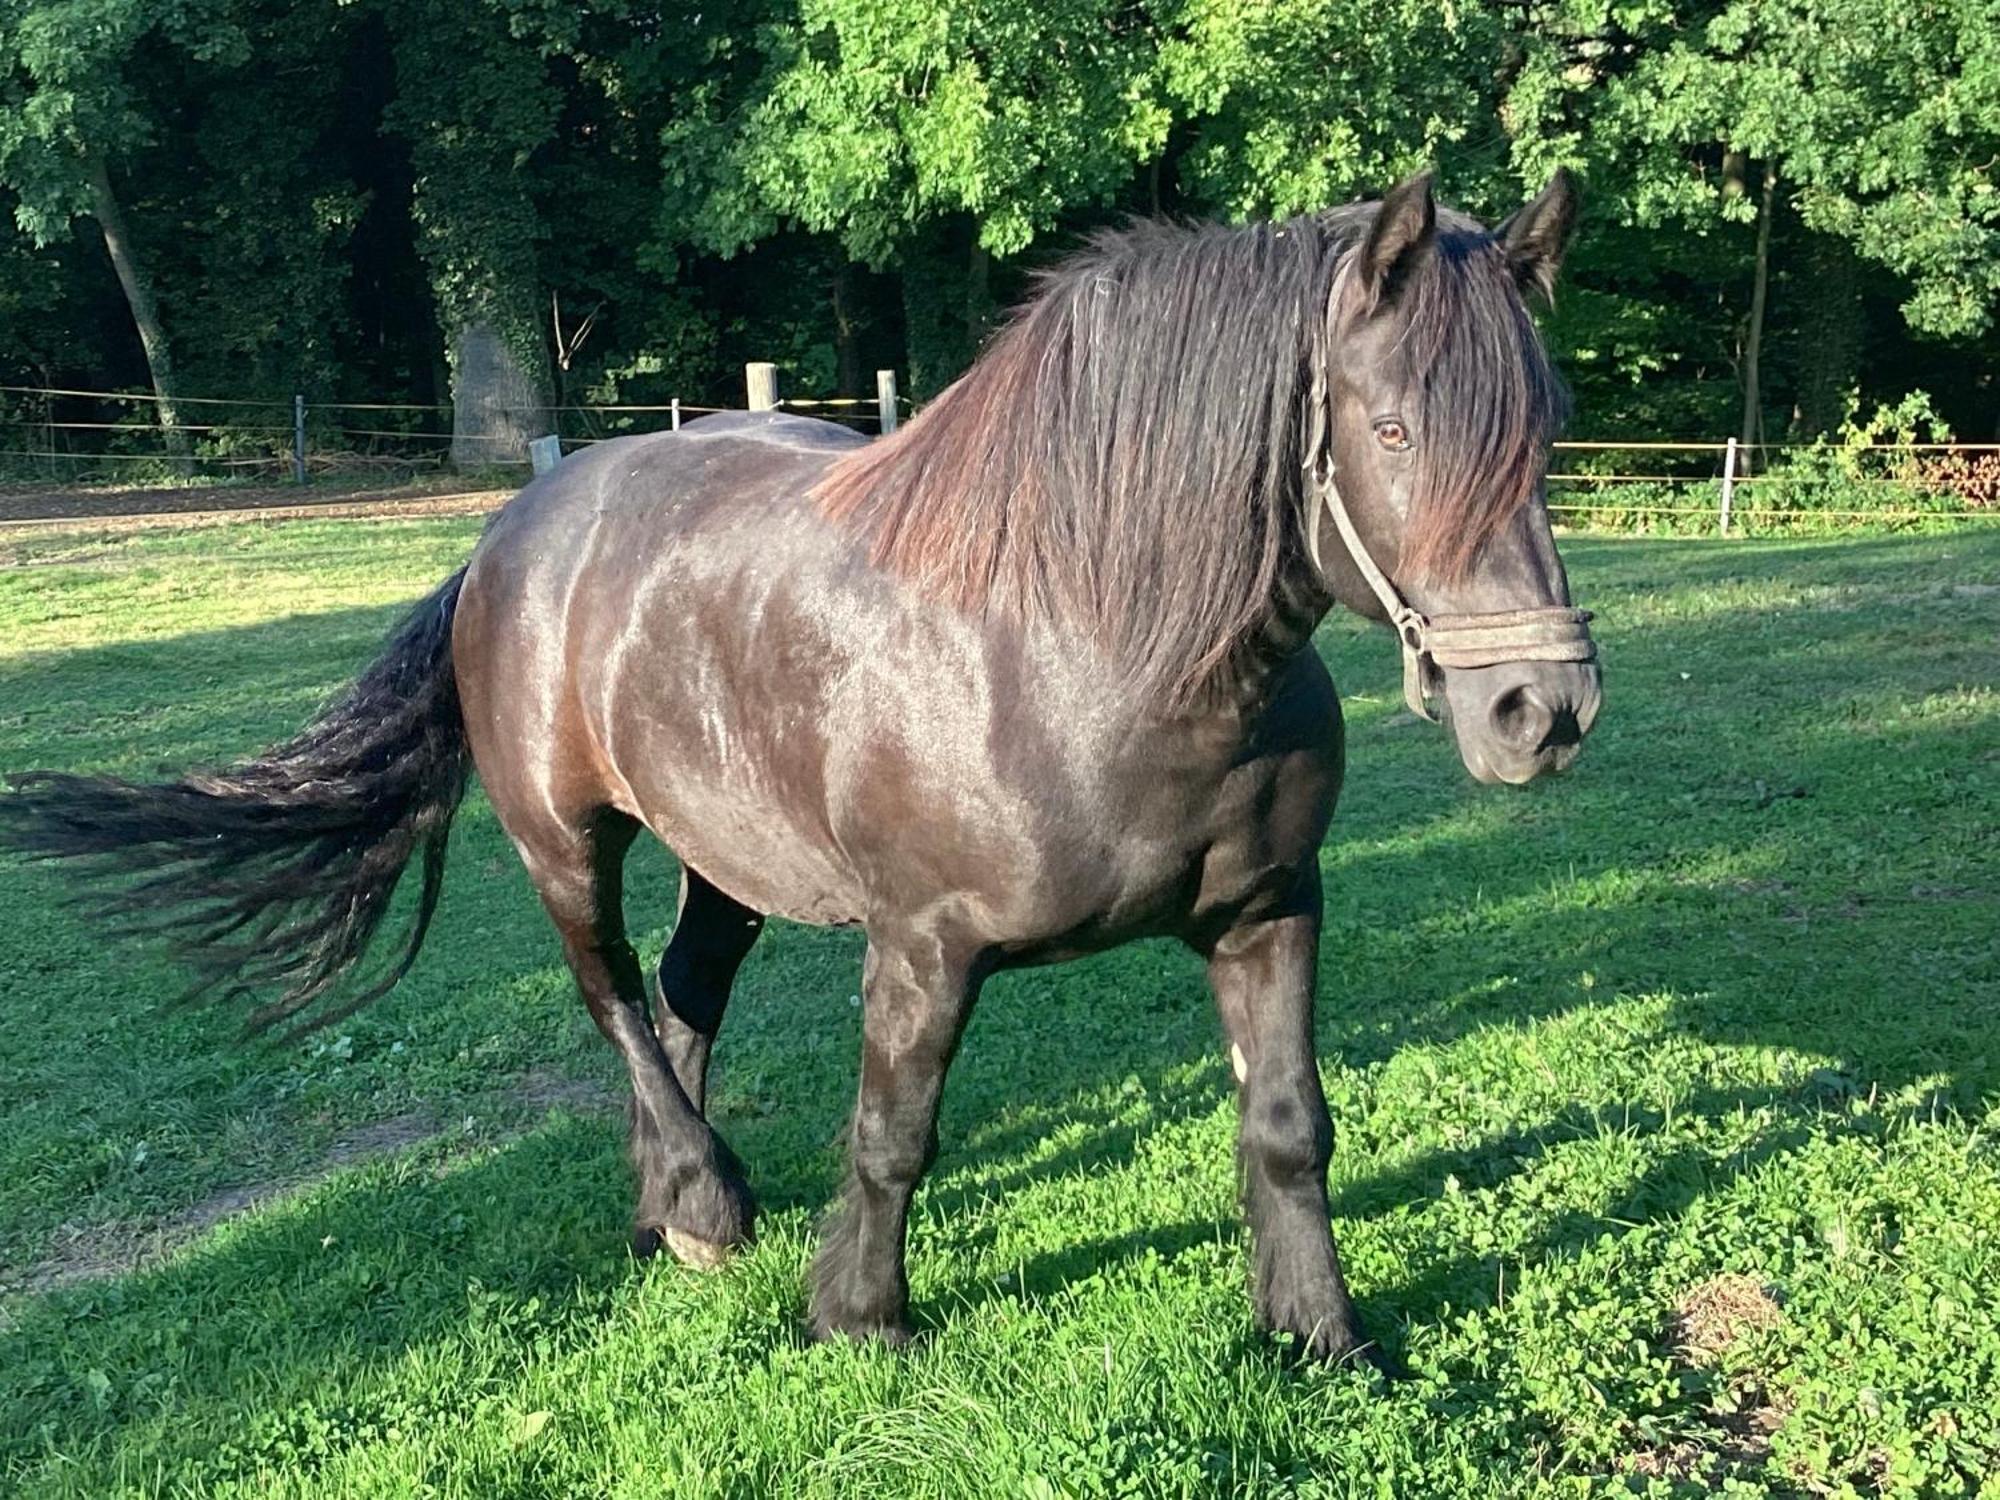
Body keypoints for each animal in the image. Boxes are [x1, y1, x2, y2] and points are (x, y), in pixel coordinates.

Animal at [0, 170, 1592, 1368]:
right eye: (1391, 428)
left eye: (1549, 429)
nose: (1541, 708)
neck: (1090, 646)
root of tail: (518, 524)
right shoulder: (924, 947)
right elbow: (892, 1134)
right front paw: (858, 1318)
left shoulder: (1269, 912)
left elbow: (1287, 1130)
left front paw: (1318, 1331)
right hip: (564, 841)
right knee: (614, 996)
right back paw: (702, 1203)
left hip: (727, 854)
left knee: (686, 997)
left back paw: (665, 1205)